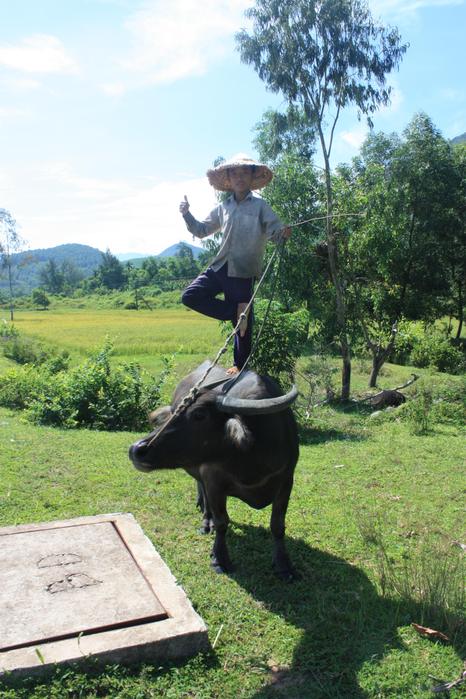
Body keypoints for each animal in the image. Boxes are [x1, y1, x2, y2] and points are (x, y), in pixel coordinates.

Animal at [129, 362, 299, 580]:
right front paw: (220, 558)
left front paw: (284, 565)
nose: (136, 450)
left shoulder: (286, 481)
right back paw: (205, 520)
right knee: (203, 492)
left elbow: (277, 525)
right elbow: (221, 522)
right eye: (175, 410)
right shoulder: (214, 481)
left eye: (199, 415)